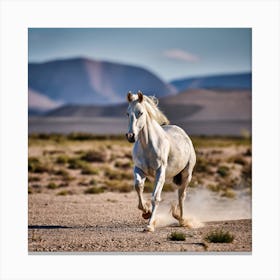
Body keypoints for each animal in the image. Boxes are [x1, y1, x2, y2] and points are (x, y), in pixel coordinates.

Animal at [126, 90, 196, 232]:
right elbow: (138, 186)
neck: (148, 146)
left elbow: (155, 198)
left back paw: (182, 220)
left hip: (186, 175)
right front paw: (146, 212)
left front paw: (149, 226)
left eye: (140, 112)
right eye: (127, 113)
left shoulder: (160, 172)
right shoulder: (138, 169)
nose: (131, 136)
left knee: (181, 195)